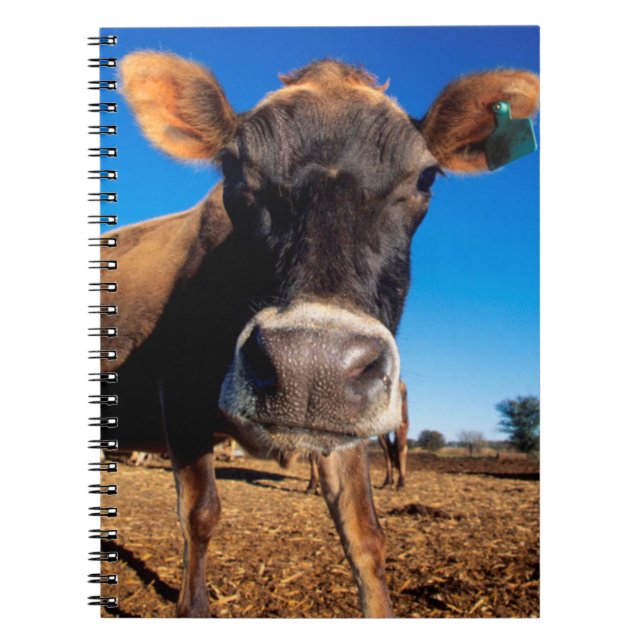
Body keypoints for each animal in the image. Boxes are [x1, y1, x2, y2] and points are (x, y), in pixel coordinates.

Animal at [100, 52, 538, 617]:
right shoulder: (177, 391)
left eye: (426, 177)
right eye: (232, 168)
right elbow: (199, 514)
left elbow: (364, 533)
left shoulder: (348, 421)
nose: (311, 365)